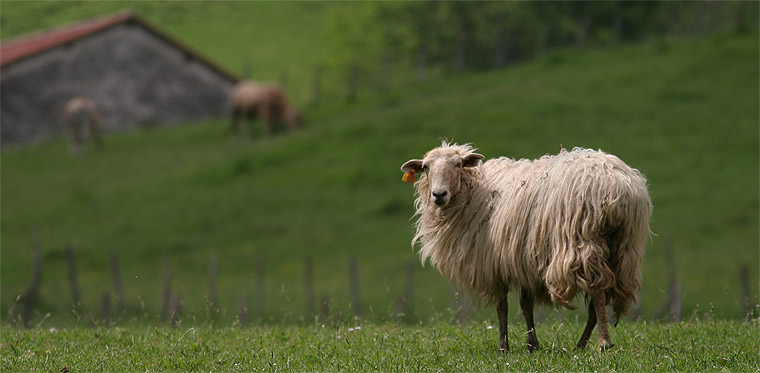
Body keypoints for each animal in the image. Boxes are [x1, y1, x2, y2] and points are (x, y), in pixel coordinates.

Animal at [400, 142, 652, 352]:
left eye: (458, 164)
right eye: (425, 167)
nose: (438, 194)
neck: (474, 191)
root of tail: (616, 184)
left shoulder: (494, 264)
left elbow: (503, 307)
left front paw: (504, 347)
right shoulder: (522, 261)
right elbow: (526, 305)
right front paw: (532, 346)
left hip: (582, 242)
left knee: (597, 292)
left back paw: (603, 342)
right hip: (624, 248)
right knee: (600, 298)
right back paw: (581, 345)